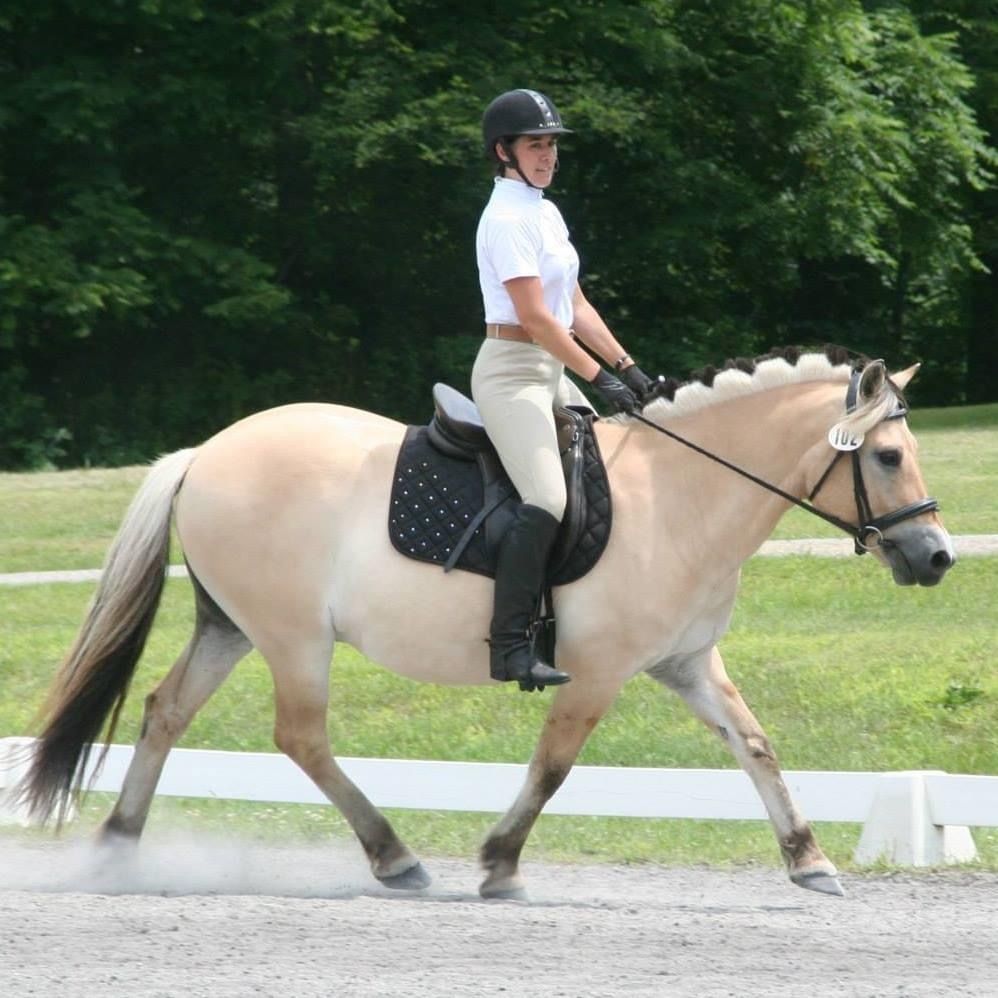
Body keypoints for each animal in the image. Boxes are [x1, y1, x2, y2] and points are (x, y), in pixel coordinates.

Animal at [15, 348, 952, 904]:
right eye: (887, 457)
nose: (937, 556)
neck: (680, 494)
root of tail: (203, 454)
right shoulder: (598, 670)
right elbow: (554, 766)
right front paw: (500, 862)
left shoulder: (686, 662)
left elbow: (755, 746)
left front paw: (810, 861)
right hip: (293, 637)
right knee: (301, 736)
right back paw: (395, 857)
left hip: (232, 627)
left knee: (167, 711)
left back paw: (118, 848)